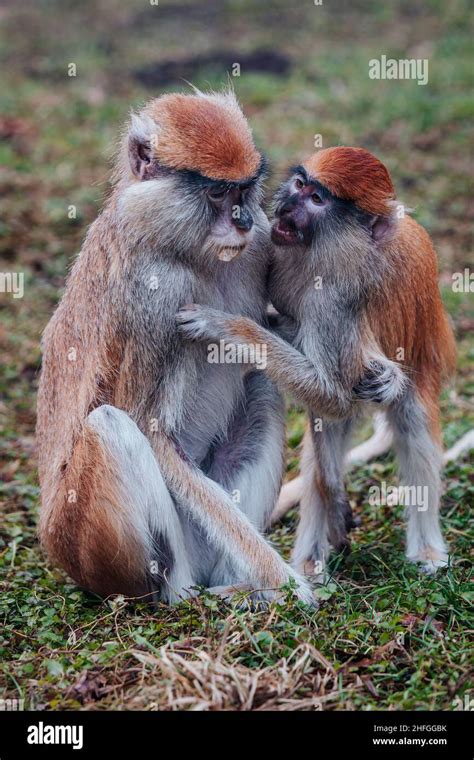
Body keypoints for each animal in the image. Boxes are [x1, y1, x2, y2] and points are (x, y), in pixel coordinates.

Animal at [36, 89, 314, 604]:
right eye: (217, 193)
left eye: (244, 189)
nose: (245, 221)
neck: (176, 243)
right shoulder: (158, 295)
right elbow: (152, 431)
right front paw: (292, 586)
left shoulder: (259, 245)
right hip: (95, 545)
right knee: (109, 426)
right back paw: (188, 597)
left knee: (261, 388)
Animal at [178, 147, 456, 576]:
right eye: (299, 184)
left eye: (317, 200)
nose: (287, 206)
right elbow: (325, 400)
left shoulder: (334, 303)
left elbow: (332, 394)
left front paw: (222, 325)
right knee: (324, 446)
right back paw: (313, 554)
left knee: (413, 422)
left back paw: (426, 550)